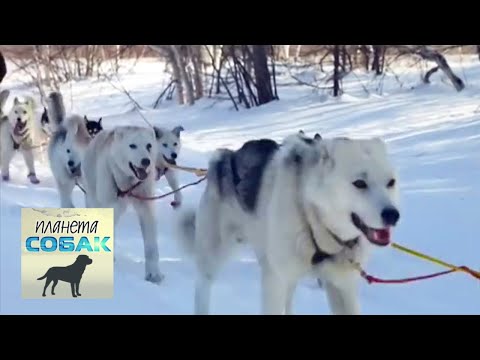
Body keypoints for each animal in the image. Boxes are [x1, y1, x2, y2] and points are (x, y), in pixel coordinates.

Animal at [82, 124, 165, 284]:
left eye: (149, 146)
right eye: (132, 145)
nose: (146, 161)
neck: (129, 185)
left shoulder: (146, 208)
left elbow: (151, 247)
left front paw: (154, 274)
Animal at [178, 133, 400, 316]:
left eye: (391, 182)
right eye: (360, 183)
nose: (393, 215)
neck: (311, 218)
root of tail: (226, 156)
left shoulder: (342, 287)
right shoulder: (274, 282)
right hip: (212, 259)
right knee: (202, 289)